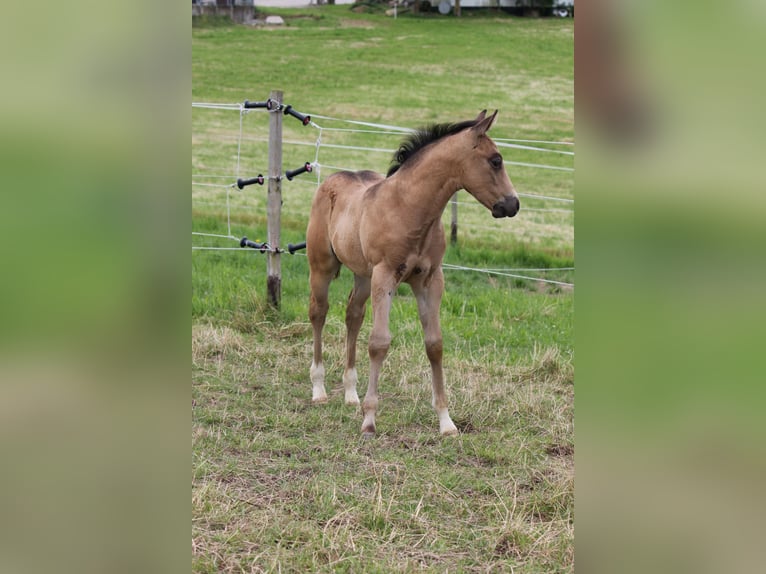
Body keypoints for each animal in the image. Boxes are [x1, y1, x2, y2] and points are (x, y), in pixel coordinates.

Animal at [306, 111, 520, 436]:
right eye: (496, 160)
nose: (512, 204)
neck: (409, 210)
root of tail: (330, 179)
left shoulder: (430, 280)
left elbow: (435, 344)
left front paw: (446, 421)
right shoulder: (386, 276)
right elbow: (379, 342)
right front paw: (369, 420)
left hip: (363, 276)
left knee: (353, 315)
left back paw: (351, 393)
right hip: (322, 267)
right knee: (319, 312)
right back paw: (319, 389)